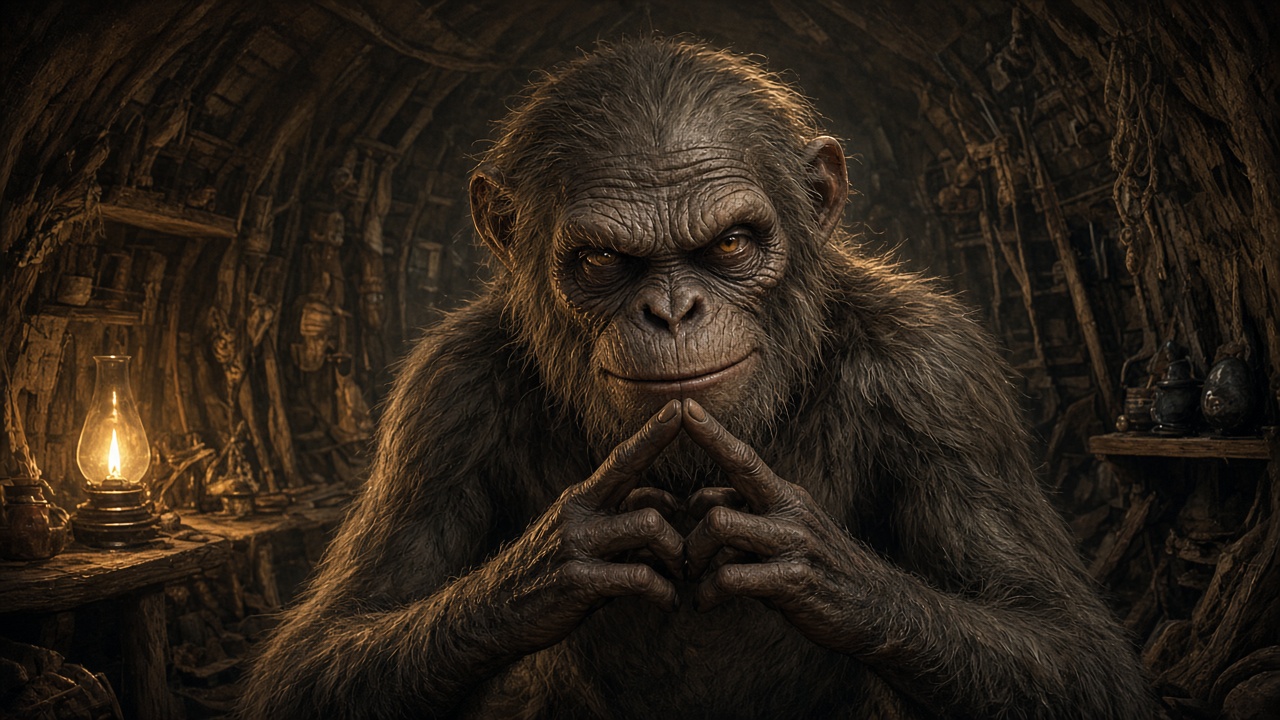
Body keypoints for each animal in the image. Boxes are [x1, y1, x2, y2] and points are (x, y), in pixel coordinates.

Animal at [240, 39, 1157, 719]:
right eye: (602, 260)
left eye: (730, 244)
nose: (674, 310)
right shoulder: (443, 402)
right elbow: (318, 652)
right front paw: (561, 553)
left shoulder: (938, 379)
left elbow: (1067, 645)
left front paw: (806, 553)